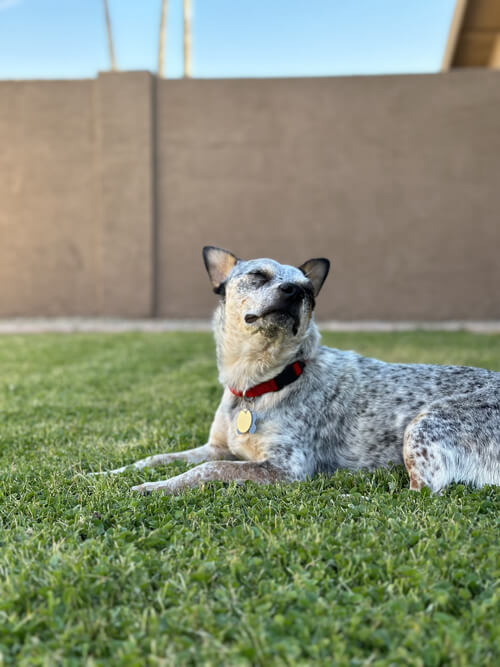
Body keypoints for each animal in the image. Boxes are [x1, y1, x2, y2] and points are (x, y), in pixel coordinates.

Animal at [97, 247, 500, 496]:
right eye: (258, 275)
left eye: (309, 291)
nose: (294, 291)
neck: (257, 383)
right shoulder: (215, 447)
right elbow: (153, 458)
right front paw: (106, 474)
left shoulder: (285, 468)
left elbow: (206, 472)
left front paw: (153, 487)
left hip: (423, 425)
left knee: (424, 493)